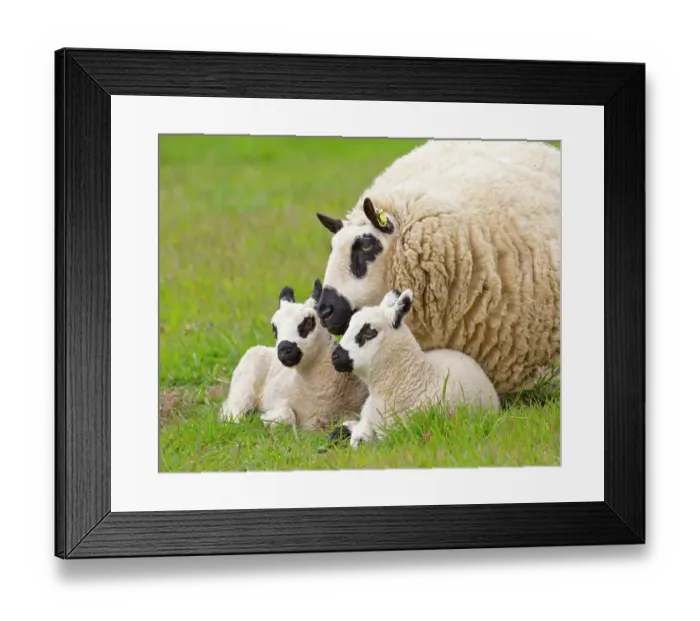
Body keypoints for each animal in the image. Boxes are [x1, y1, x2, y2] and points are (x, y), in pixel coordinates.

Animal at [220, 280, 368, 430]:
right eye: (274, 328)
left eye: (309, 322)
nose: (284, 350)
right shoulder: (272, 398)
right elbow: (289, 415)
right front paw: (264, 419)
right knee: (231, 413)